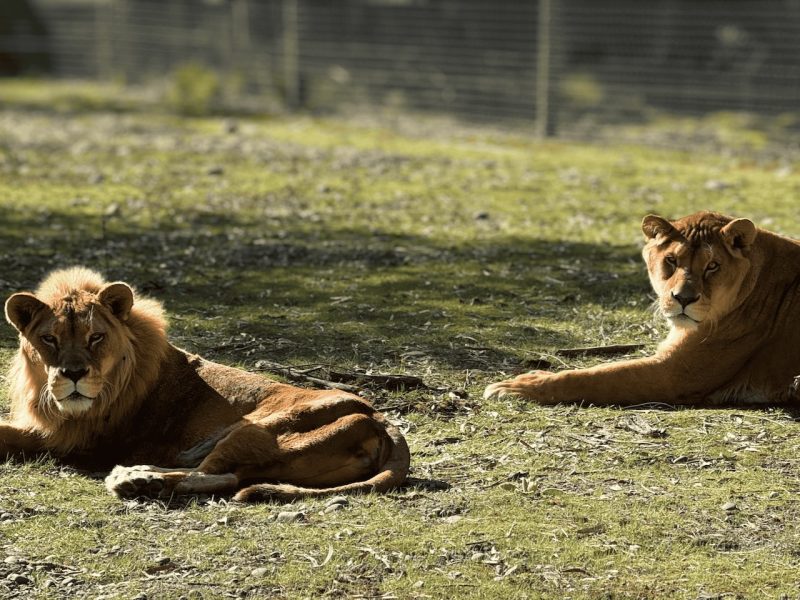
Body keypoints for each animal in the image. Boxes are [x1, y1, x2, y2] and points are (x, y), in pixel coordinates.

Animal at [2, 267, 410, 502]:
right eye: (50, 339)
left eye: (96, 337)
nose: (73, 374)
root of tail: (382, 421)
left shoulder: (70, 438)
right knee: (229, 475)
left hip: (260, 429)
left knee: (218, 475)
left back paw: (137, 480)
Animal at [484, 211, 800, 407]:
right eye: (671, 260)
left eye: (713, 266)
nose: (683, 298)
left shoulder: (675, 374)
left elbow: (594, 376)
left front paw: (518, 386)